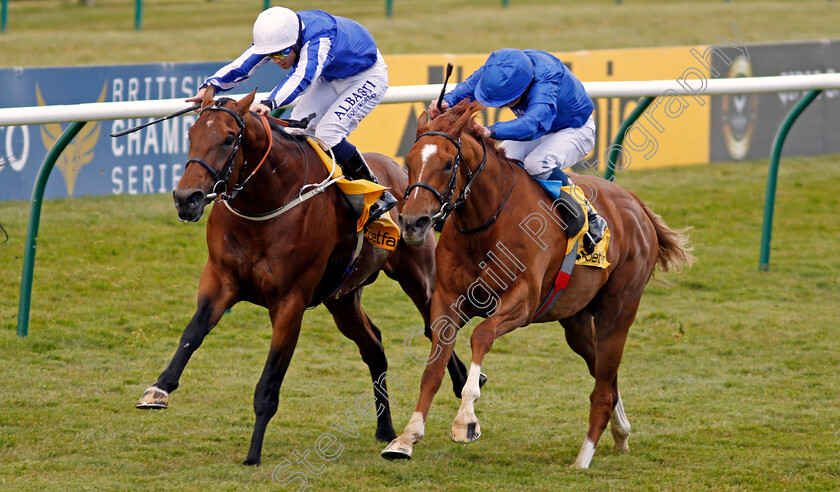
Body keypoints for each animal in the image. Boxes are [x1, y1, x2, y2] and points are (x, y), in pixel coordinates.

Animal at [134, 91, 470, 466]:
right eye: (190, 134)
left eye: (228, 139)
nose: (186, 198)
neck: (264, 204)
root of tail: (403, 171)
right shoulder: (221, 279)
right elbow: (192, 333)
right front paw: (158, 389)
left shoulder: (289, 301)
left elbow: (269, 382)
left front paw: (253, 454)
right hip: (342, 300)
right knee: (375, 347)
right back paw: (386, 429)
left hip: (417, 276)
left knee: (435, 327)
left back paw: (461, 383)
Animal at [382, 101, 696, 468]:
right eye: (408, 162)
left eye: (448, 164)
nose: (412, 223)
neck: (486, 223)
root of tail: (637, 205)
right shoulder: (447, 300)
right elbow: (433, 369)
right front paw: (406, 438)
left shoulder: (521, 302)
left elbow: (481, 335)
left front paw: (466, 421)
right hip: (576, 321)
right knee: (606, 376)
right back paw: (621, 433)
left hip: (617, 313)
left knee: (603, 387)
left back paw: (583, 459)